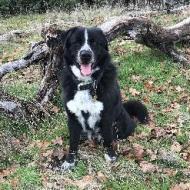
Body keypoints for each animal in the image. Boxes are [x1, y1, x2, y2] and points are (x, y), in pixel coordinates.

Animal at [55, 26, 148, 171]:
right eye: (77, 42)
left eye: (94, 43)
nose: (85, 55)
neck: (86, 84)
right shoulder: (73, 119)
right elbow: (73, 143)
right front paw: (70, 161)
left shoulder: (107, 116)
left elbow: (108, 139)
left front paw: (110, 156)